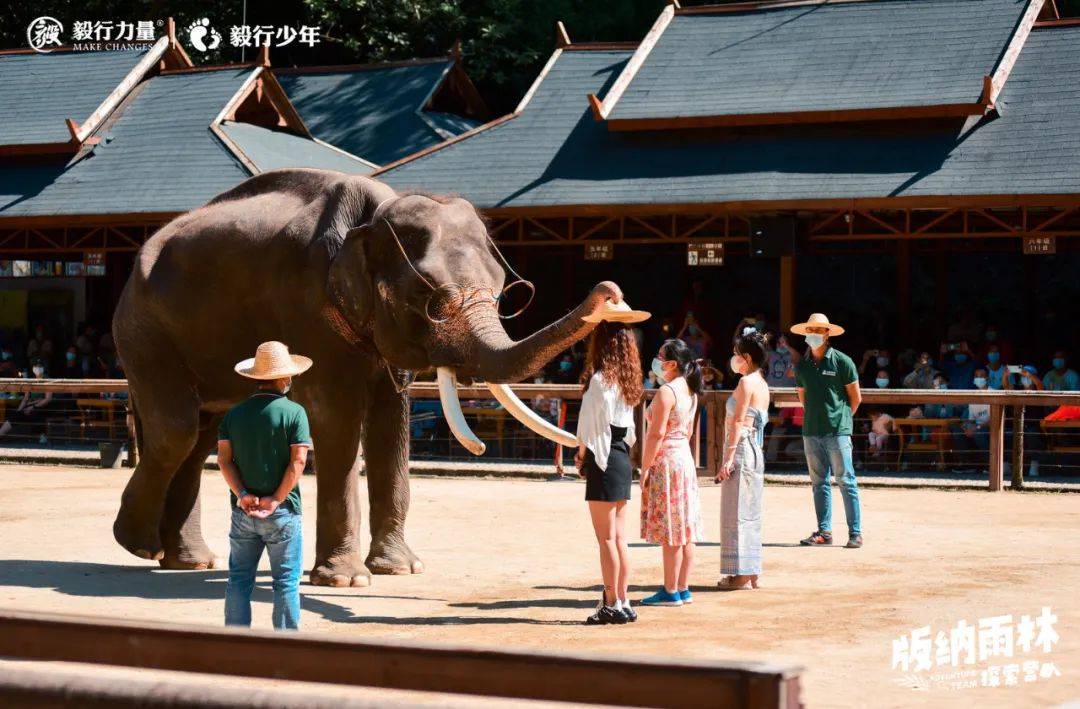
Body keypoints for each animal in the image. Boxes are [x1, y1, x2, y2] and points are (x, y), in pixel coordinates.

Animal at [112, 167, 622, 587]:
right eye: (429, 298)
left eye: (504, 293)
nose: (609, 290)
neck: (375, 214)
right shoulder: (306, 307)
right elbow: (335, 415)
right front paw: (346, 580)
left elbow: (391, 420)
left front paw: (402, 569)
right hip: (144, 332)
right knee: (177, 431)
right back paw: (138, 545)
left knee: (202, 435)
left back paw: (186, 561)